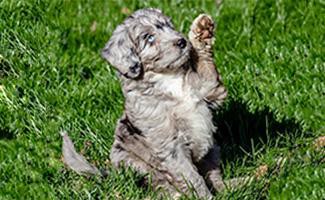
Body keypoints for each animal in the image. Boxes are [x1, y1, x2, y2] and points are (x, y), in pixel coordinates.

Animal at [62, 7, 251, 198]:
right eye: (149, 38)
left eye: (169, 26)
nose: (182, 41)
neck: (169, 79)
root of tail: (111, 173)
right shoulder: (170, 145)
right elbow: (192, 177)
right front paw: (204, 197)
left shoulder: (209, 89)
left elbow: (205, 66)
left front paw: (202, 31)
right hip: (133, 163)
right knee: (160, 185)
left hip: (212, 151)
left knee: (215, 178)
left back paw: (241, 184)